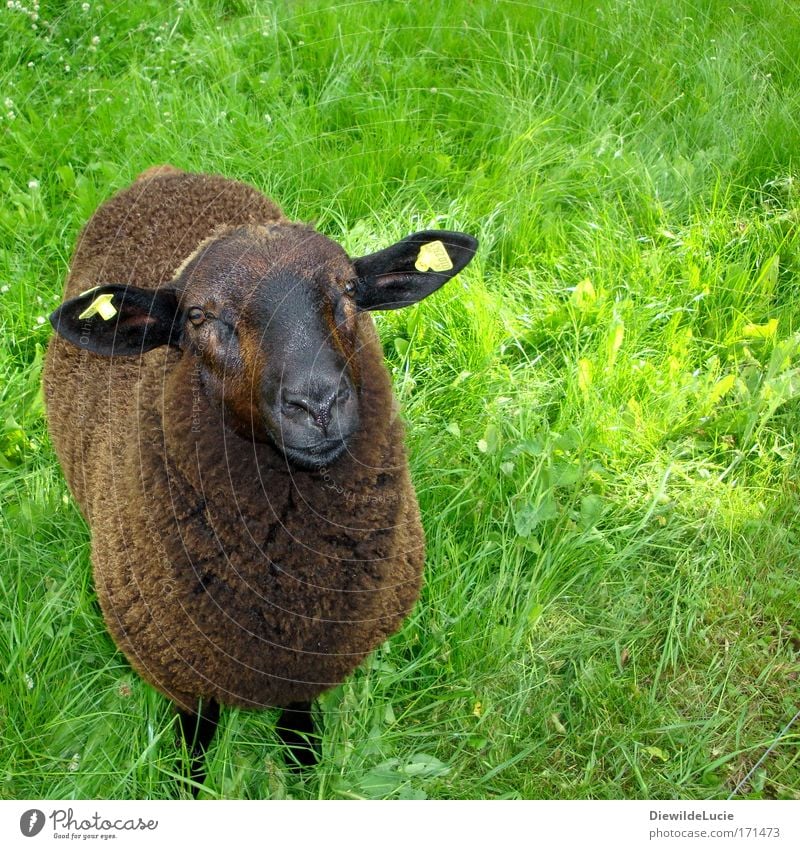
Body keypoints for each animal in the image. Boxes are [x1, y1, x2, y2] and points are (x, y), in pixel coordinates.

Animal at [43, 166, 478, 788]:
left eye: (350, 291)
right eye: (198, 316)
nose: (317, 404)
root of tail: (167, 171)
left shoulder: (309, 662)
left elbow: (296, 713)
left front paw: (304, 765)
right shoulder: (179, 667)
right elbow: (196, 732)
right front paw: (189, 784)